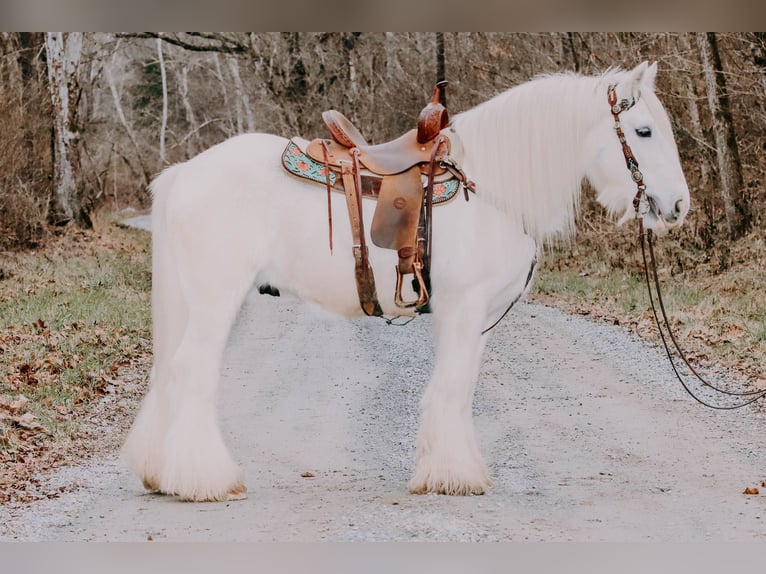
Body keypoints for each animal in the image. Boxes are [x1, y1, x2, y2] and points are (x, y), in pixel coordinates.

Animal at [124, 63, 688, 502]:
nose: (678, 205)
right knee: (192, 372)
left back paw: (161, 473)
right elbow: (452, 387)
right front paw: (453, 476)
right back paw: (205, 480)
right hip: (216, 301)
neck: (489, 190)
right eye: (643, 132)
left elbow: (460, 389)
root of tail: (185, 172)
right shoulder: (462, 308)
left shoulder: (476, 319)